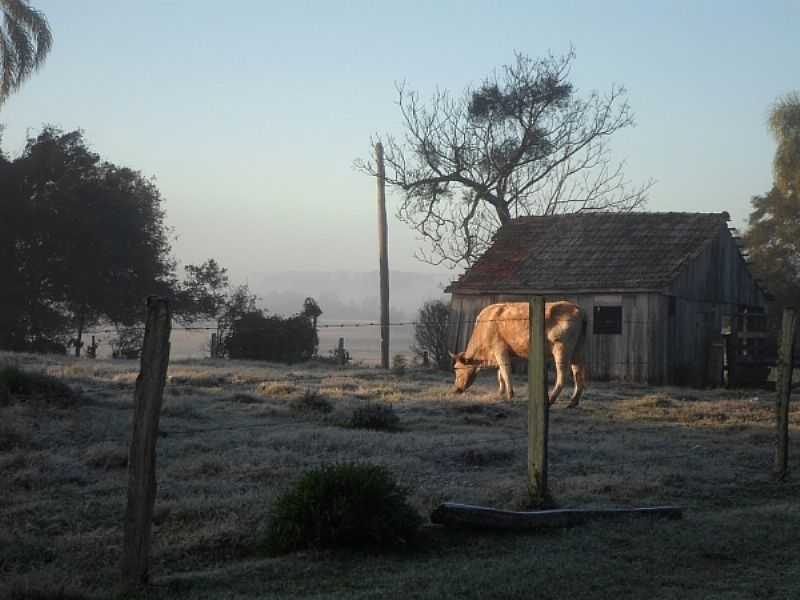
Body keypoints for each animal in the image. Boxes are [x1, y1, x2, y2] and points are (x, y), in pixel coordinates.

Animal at [450, 302, 588, 406]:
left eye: (457, 370)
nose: (455, 390)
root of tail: (577, 308)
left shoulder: (499, 348)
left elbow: (505, 372)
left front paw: (510, 395)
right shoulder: (505, 353)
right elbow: (500, 374)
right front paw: (500, 393)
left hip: (561, 348)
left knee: (562, 375)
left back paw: (551, 399)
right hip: (578, 350)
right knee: (579, 373)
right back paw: (573, 402)